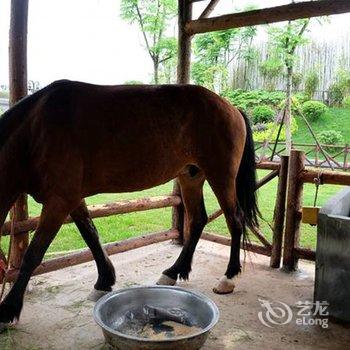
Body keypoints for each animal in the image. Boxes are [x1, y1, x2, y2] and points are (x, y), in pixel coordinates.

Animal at [0, 80, 258, 324]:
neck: (36, 130)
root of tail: (232, 108)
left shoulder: (60, 200)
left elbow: (34, 253)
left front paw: (9, 308)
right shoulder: (72, 199)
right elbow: (90, 234)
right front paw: (104, 281)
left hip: (221, 177)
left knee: (235, 220)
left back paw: (228, 278)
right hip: (191, 177)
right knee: (197, 221)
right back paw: (174, 272)